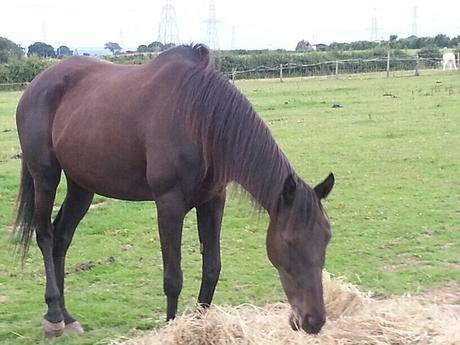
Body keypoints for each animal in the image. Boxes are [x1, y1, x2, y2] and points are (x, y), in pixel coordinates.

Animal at [12, 43, 332, 336]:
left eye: (326, 238)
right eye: (290, 242)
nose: (313, 321)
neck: (199, 120)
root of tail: (34, 86)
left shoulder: (213, 201)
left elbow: (212, 268)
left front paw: (201, 324)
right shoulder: (169, 204)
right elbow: (173, 278)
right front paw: (172, 327)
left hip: (82, 185)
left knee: (62, 238)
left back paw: (68, 316)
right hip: (45, 177)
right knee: (45, 235)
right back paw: (54, 316)